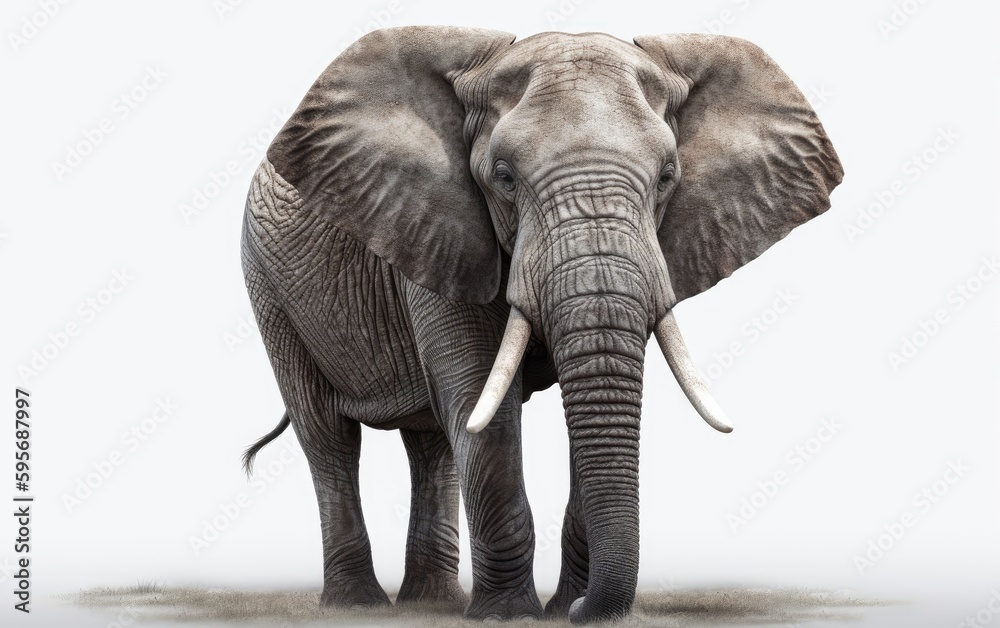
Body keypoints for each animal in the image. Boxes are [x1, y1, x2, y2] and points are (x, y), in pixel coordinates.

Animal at [239, 26, 842, 624]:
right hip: (268, 287)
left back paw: (431, 602)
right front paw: (509, 616)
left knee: (432, 445)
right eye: (504, 179)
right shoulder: (442, 232)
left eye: (668, 177)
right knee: (328, 435)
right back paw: (356, 603)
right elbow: (481, 402)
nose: (582, 610)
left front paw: (563, 607)